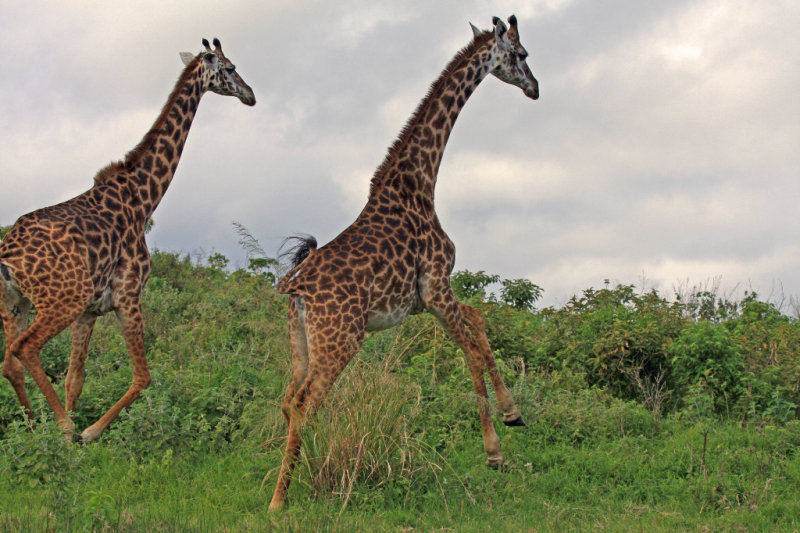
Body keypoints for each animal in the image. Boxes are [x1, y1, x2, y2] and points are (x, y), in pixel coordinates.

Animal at [0, 38, 256, 440]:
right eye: (230, 68)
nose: (250, 95)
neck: (143, 196)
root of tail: (6, 257)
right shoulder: (128, 295)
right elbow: (143, 377)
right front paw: (86, 432)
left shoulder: (90, 310)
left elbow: (75, 378)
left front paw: (74, 439)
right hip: (63, 298)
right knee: (25, 348)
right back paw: (60, 428)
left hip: (16, 303)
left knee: (10, 362)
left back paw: (32, 430)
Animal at [268, 14, 536, 510]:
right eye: (522, 54)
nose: (535, 88)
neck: (420, 183)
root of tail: (295, 289)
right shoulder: (436, 286)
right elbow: (471, 354)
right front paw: (494, 452)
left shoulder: (425, 299)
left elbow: (480, 323)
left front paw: (513, 413)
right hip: (340, 341)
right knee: (304, 403)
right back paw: (278, 502)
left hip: (300, 343)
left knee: (287, 400)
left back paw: (303, 475)